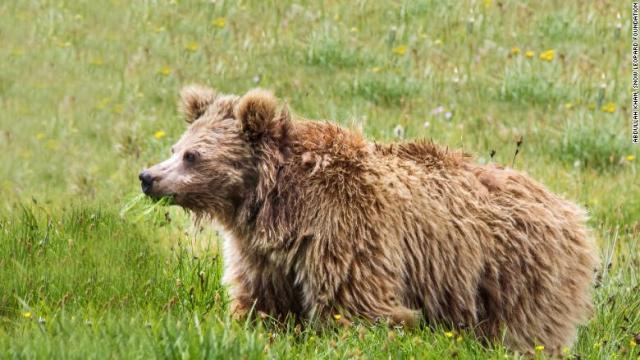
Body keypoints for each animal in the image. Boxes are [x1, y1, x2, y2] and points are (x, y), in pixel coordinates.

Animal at [140, 86, 600, 354]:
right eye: (176, 146)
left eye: (192, 155)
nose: (148, 177)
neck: (275, 202)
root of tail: (571, 210)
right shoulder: (263, 252)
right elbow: (262, 302)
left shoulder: (343, 230)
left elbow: (358, 306)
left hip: (519, 272)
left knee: (526, 332)